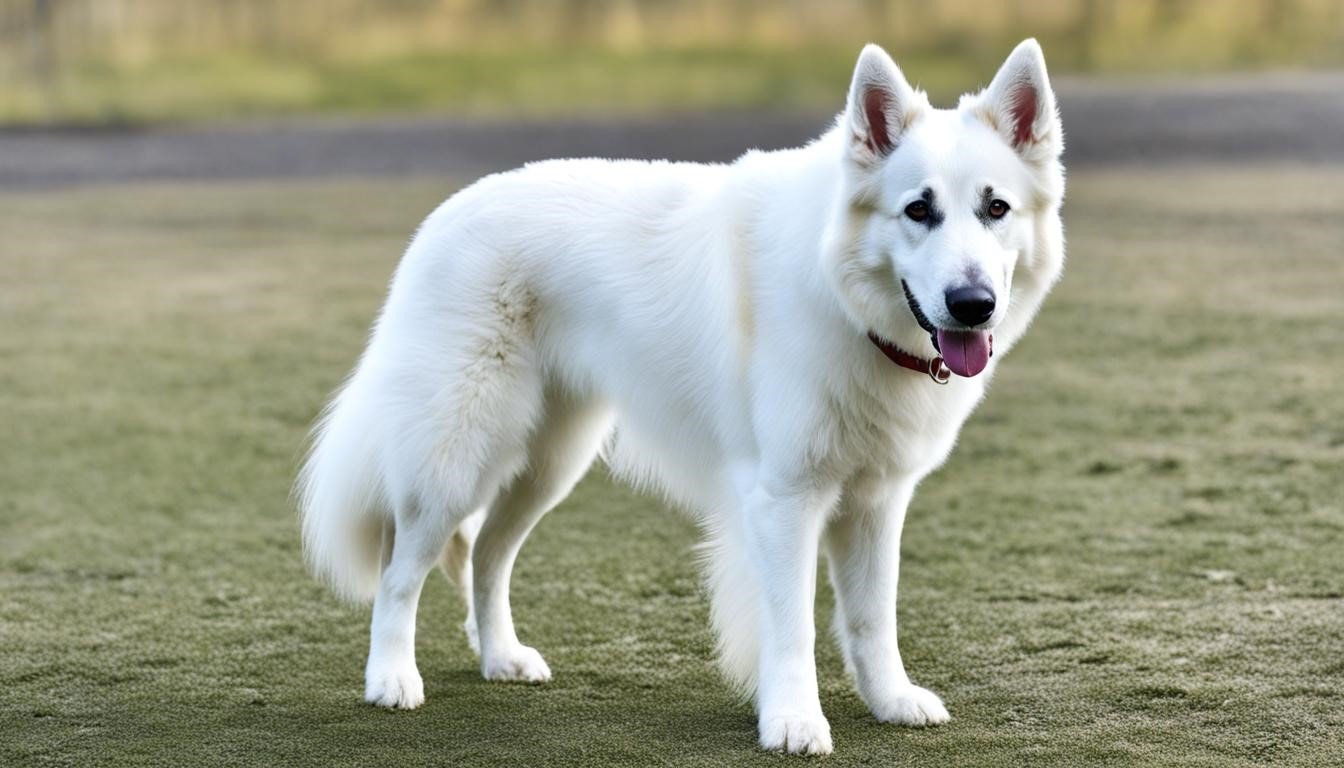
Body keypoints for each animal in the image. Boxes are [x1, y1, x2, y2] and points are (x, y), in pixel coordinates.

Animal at [299, 39, 1064, 753]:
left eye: (996, 208)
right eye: (918, 210)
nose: (973, 305)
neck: (842, 295)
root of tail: (443, 218)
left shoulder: (877, 500)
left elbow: (874, 616)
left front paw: (890, 700)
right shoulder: (786, 500)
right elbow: (792, 625)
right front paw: (793, 721)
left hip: (547, 464)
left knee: (487, 557)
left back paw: (501, 658)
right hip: (458, 460)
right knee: (401, 572)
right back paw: (391, 679)